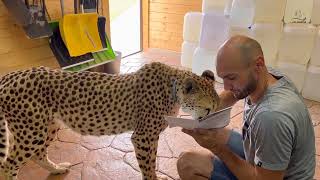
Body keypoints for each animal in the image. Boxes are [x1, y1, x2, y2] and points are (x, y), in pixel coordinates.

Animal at [0, 62, 220, 180]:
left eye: (217, 107)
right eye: (208, 109)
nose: (212, 124)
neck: (173, 89)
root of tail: (10, 75)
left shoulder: (150, 137)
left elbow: (152, 161)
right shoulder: (143, 137)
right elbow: (148, 165)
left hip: (48, 126)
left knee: (37, 154)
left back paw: (56, 169)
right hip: (31, 132)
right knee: (8, 165)